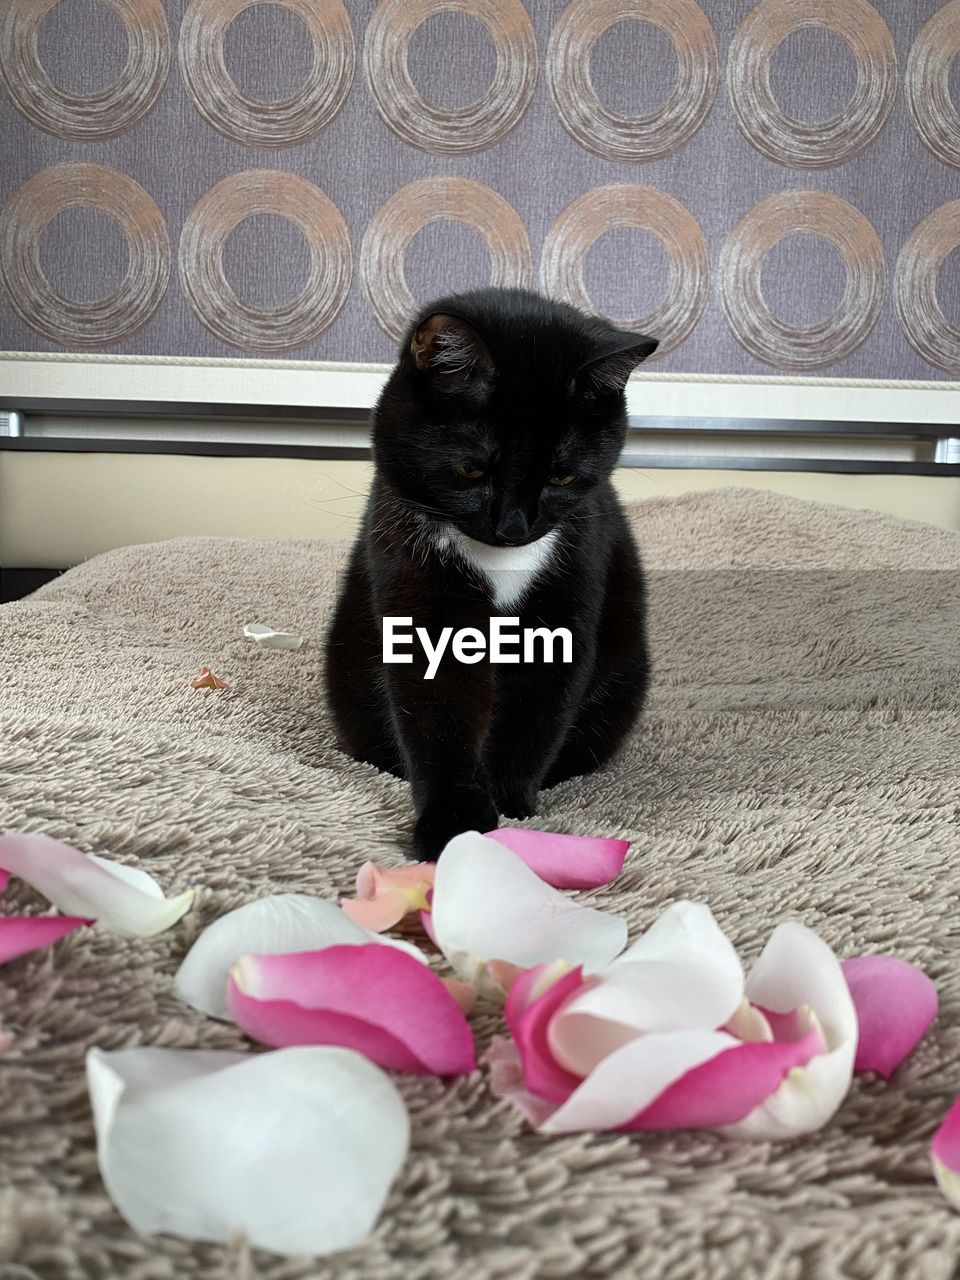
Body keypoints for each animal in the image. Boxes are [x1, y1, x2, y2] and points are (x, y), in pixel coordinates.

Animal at [327, 285, 660, 855]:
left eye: (561, 475)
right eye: (470, 469)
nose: (513, 526)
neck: (501, 563)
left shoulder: (570, 589)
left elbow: (533, 715)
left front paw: (509, 806)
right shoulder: (418, 590)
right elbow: (438, 706)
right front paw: (454, 822)